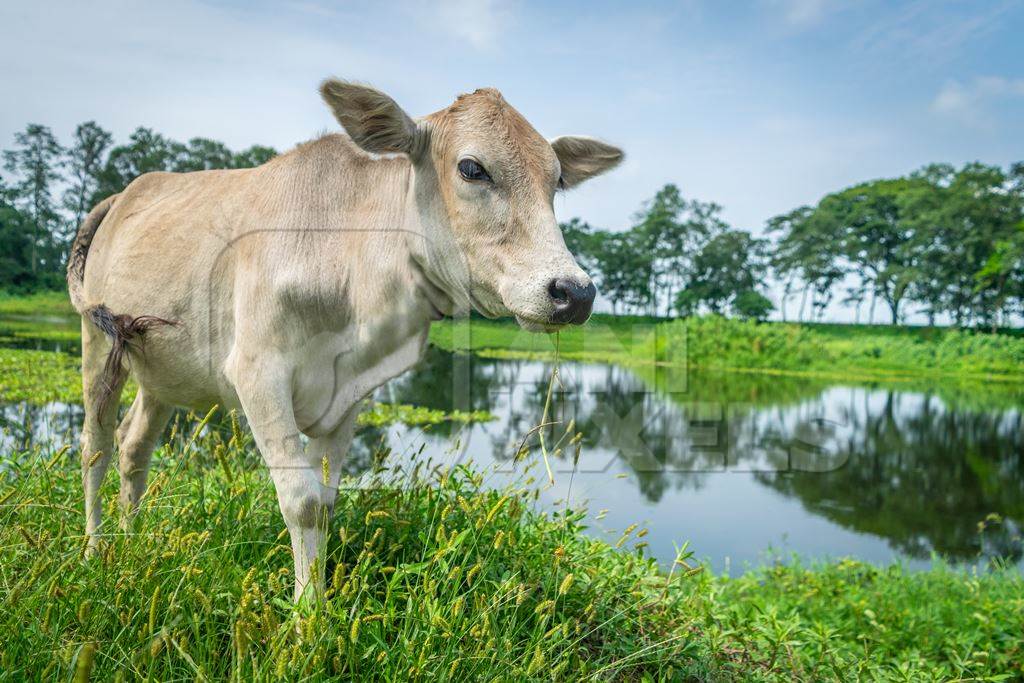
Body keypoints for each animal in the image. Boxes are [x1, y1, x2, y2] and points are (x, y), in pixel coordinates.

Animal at [68, 78, 622, 598]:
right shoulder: (257, 373)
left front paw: (316, 605)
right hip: (97, 344)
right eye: (471, 168)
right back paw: (95, 552)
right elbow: (301, 500)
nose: (574, 292)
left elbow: (325, 503)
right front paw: (304, 618)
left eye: (557, 181)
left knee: (134, 446)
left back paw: (133, 538)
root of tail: (122, 195)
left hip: (161, 372)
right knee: (95, 445)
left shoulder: (349, 394)